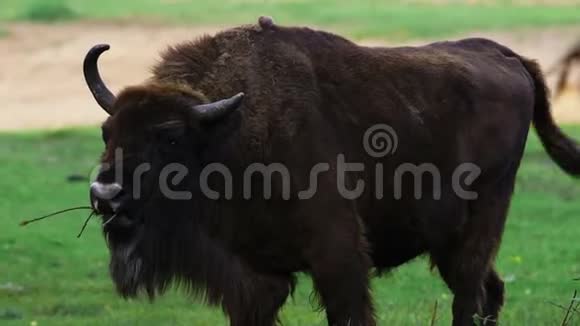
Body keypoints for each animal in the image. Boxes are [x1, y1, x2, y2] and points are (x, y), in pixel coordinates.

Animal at [84, 18, 576, 326]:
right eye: (107, 131)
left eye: (169, 137)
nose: (106, 195)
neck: (225, 135)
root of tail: (507, 56)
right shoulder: (251, 276)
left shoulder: (337, 257)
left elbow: (350, 312)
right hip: (449, 244)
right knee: (490, 290)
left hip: (478, 226)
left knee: (469, 296)